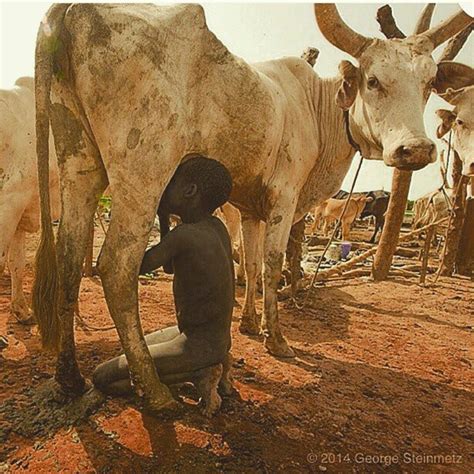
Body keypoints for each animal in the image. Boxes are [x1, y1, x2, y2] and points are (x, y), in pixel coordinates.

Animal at [33, 2, 470, 404]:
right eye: (374, 80)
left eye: (429, 82)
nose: (415, 149)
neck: (318, 110)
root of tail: (75, 9)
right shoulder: (284, 196)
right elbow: (273, 265)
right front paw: (276, 339)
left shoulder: (249, 210)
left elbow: (253, 262)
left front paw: (248, 323)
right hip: (142, 175)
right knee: (116, 269)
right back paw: (154, 389)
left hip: (80, 165)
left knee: (70, 260)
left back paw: (69, 377)